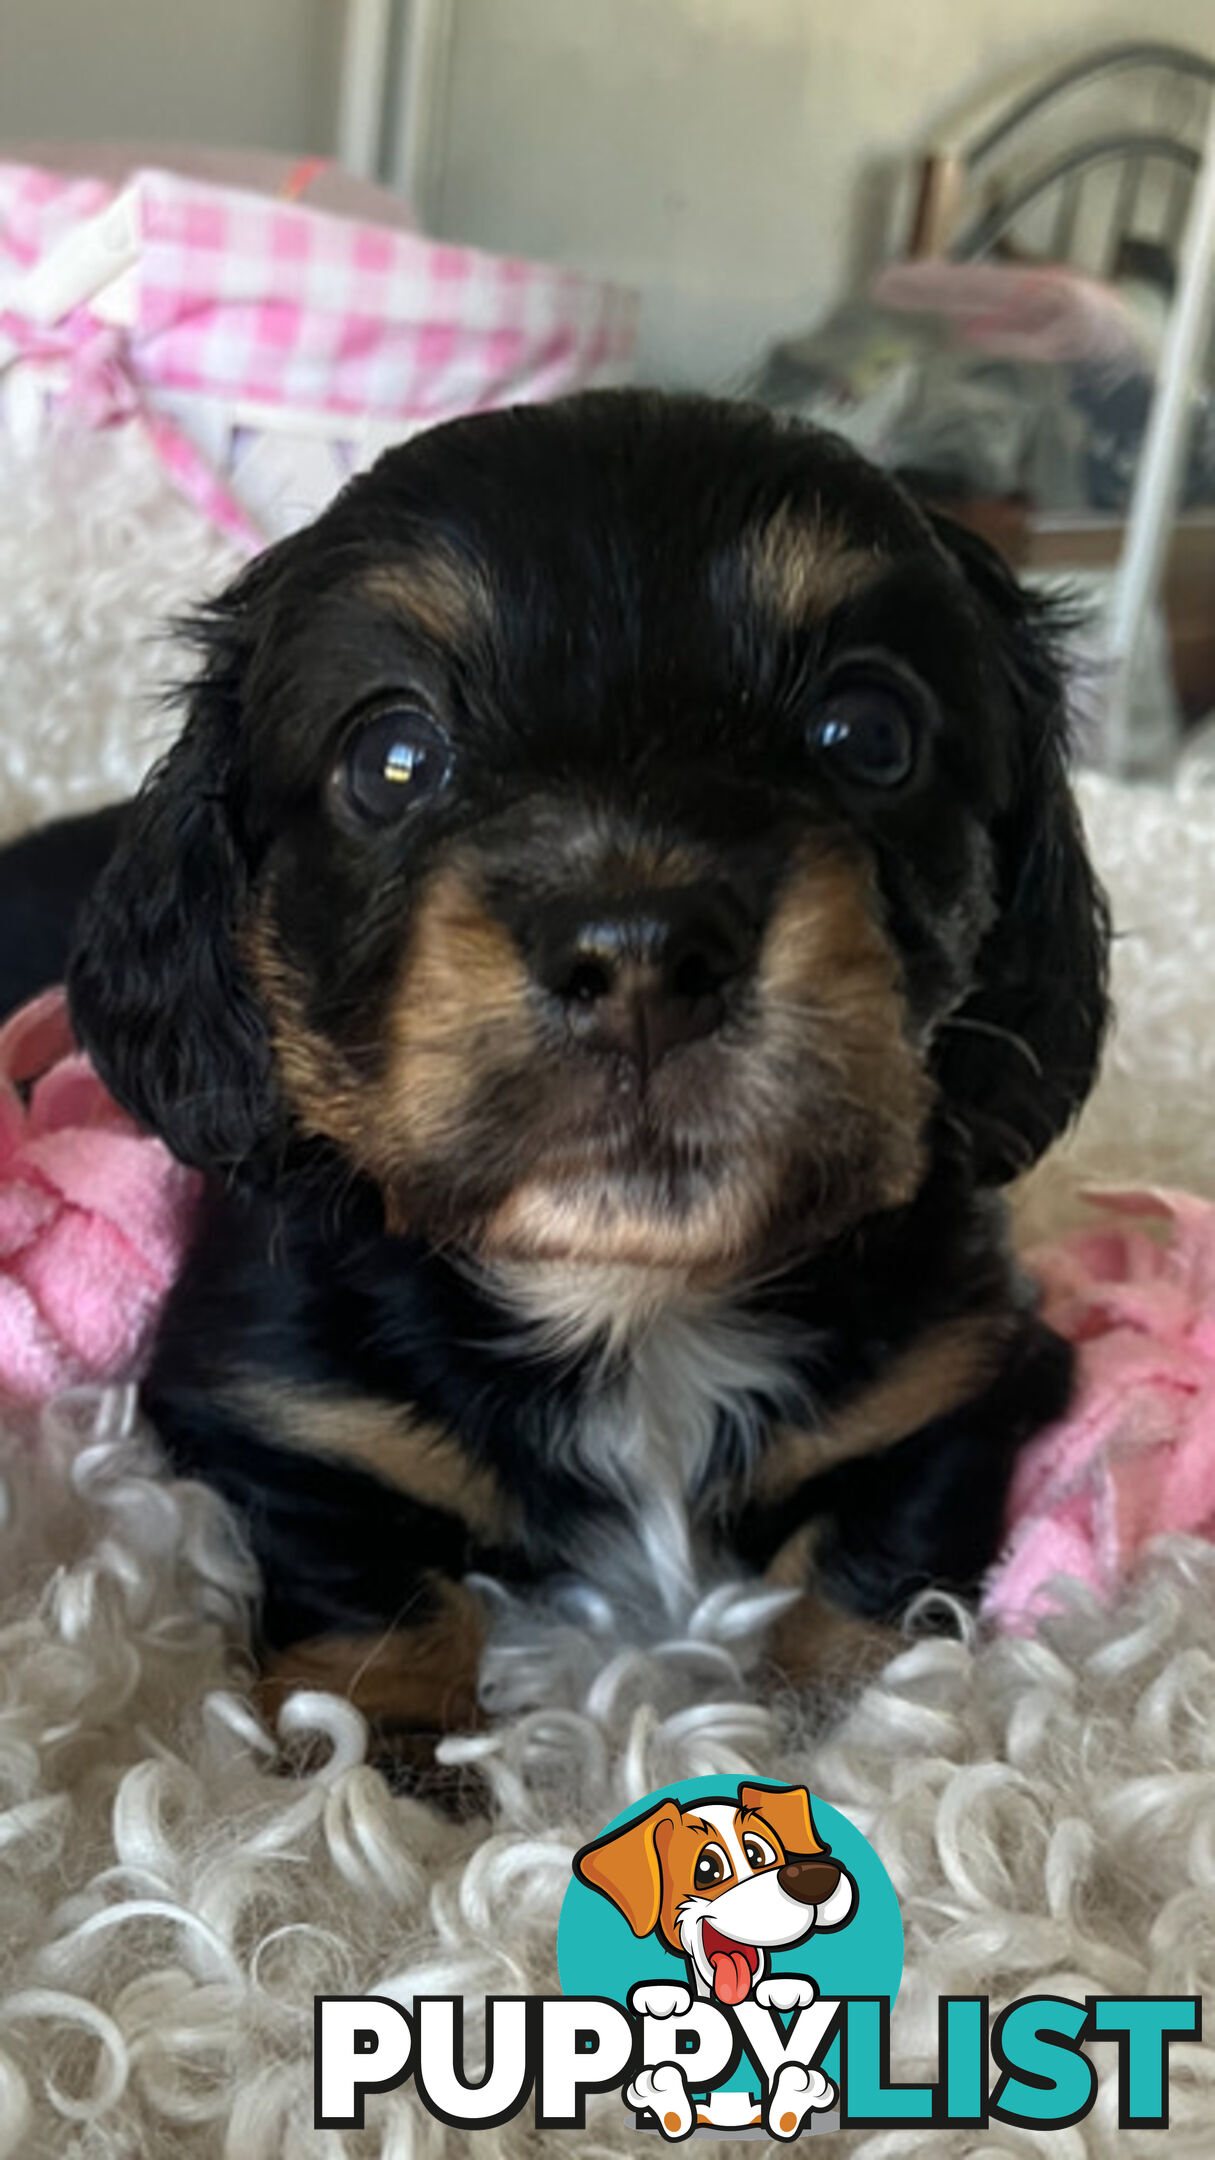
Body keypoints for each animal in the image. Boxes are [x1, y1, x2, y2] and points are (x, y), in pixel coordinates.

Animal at [9, 397, 1106, 1762]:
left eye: (869, 733)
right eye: (393, 757)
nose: (640, 956)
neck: (633, 1304)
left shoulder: (961, 1368)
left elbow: (880, 1559)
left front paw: (856, 1727)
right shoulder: (275, 1404)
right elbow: (362, 1587)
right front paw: (377, 1768)